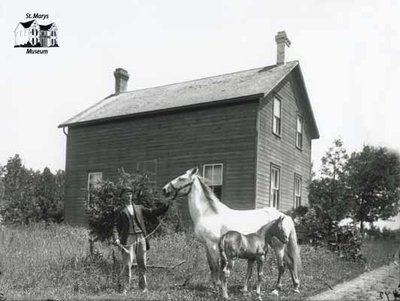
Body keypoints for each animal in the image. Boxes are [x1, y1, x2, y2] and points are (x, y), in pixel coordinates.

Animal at [162, 165, 300, 294]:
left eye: (182, 178)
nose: (164, 189)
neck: (208, 213)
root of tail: (285, 216)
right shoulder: (206, 245)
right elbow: (211, 266)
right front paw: (215, 286)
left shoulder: (212, 244)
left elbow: (216, 265)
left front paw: (217, 287)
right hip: (281, 245)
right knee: (290, 262)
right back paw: (295, 287)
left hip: (278, 246)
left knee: (282, 266)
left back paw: (276, 290)